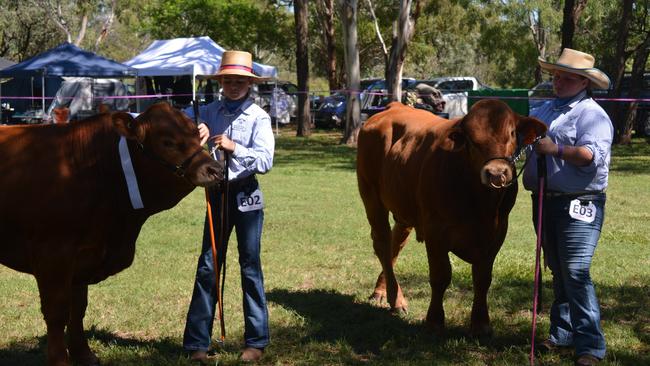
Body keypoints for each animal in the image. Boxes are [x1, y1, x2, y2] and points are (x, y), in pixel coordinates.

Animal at [0, 103, 223, 366]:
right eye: (167, 142)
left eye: (197, 134)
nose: (215, 170)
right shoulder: (53, 255)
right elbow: (57, 313)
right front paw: (60, 360)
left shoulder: (84, 258)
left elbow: (78, 309)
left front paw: (84, 354)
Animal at [356, 101, 544, 336]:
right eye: (471, 139)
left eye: (511, 133)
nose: (496, 173)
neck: (481, 205)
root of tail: (394, 106)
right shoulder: (435, 231)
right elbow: (441, 276)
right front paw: (434, 320)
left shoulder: (498, 232)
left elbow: (483, 278)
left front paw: (481, 323)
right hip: (370, 194)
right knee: (382, 242)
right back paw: (396, 299)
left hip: (404, 208)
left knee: (395, 244)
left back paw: (383, 291)